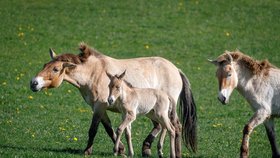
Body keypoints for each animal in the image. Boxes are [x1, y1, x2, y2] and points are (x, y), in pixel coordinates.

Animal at [30, 42, 197, 157]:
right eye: (45, 65)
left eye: (56, 69)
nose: (33, 83)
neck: (94, 73)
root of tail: (176, 69)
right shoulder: (99, 108)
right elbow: (109, 129)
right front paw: (122, 149)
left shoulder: (99, 107)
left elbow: (93, 129)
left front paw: (87, 151)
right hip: (152, 111)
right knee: (160, 126)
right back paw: (147, 148)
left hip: (166, 109)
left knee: (175, 126)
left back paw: (175, 153)